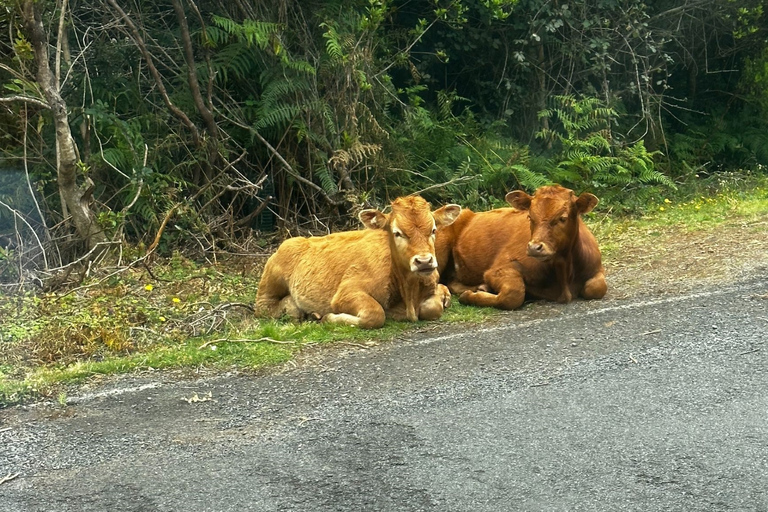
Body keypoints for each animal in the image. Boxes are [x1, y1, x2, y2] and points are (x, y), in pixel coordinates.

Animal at [256, 196, 462, 328]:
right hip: (272, 281)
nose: (424, 261)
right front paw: (328, 317)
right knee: (264, 306)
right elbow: (375, 314)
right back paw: (294, 309)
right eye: (397, 232)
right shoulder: (345, 293)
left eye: (434, 230)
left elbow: (433, 308)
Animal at [438, 186, 608, 310]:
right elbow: (514, 294)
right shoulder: (498, 268)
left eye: (562, 218)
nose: (534, 247)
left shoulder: (596, 268)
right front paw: (470, 297)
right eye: (530, 217)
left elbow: (597, 287)